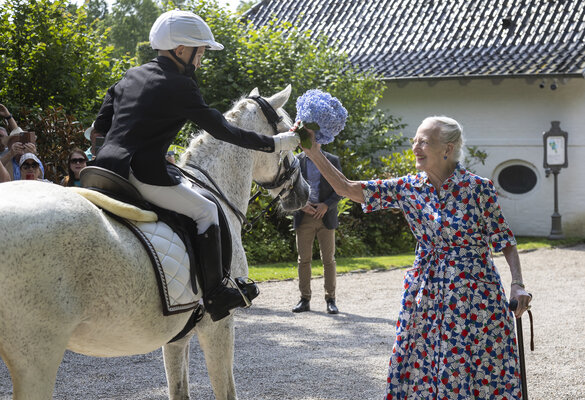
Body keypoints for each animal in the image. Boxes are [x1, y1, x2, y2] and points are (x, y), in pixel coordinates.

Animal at [0, 85, 310, 400]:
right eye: (287, 132)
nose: (304, 191)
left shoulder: (177, 337)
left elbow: (179, 390)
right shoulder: (219, 325)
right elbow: (225, 390)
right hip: (37, 356)